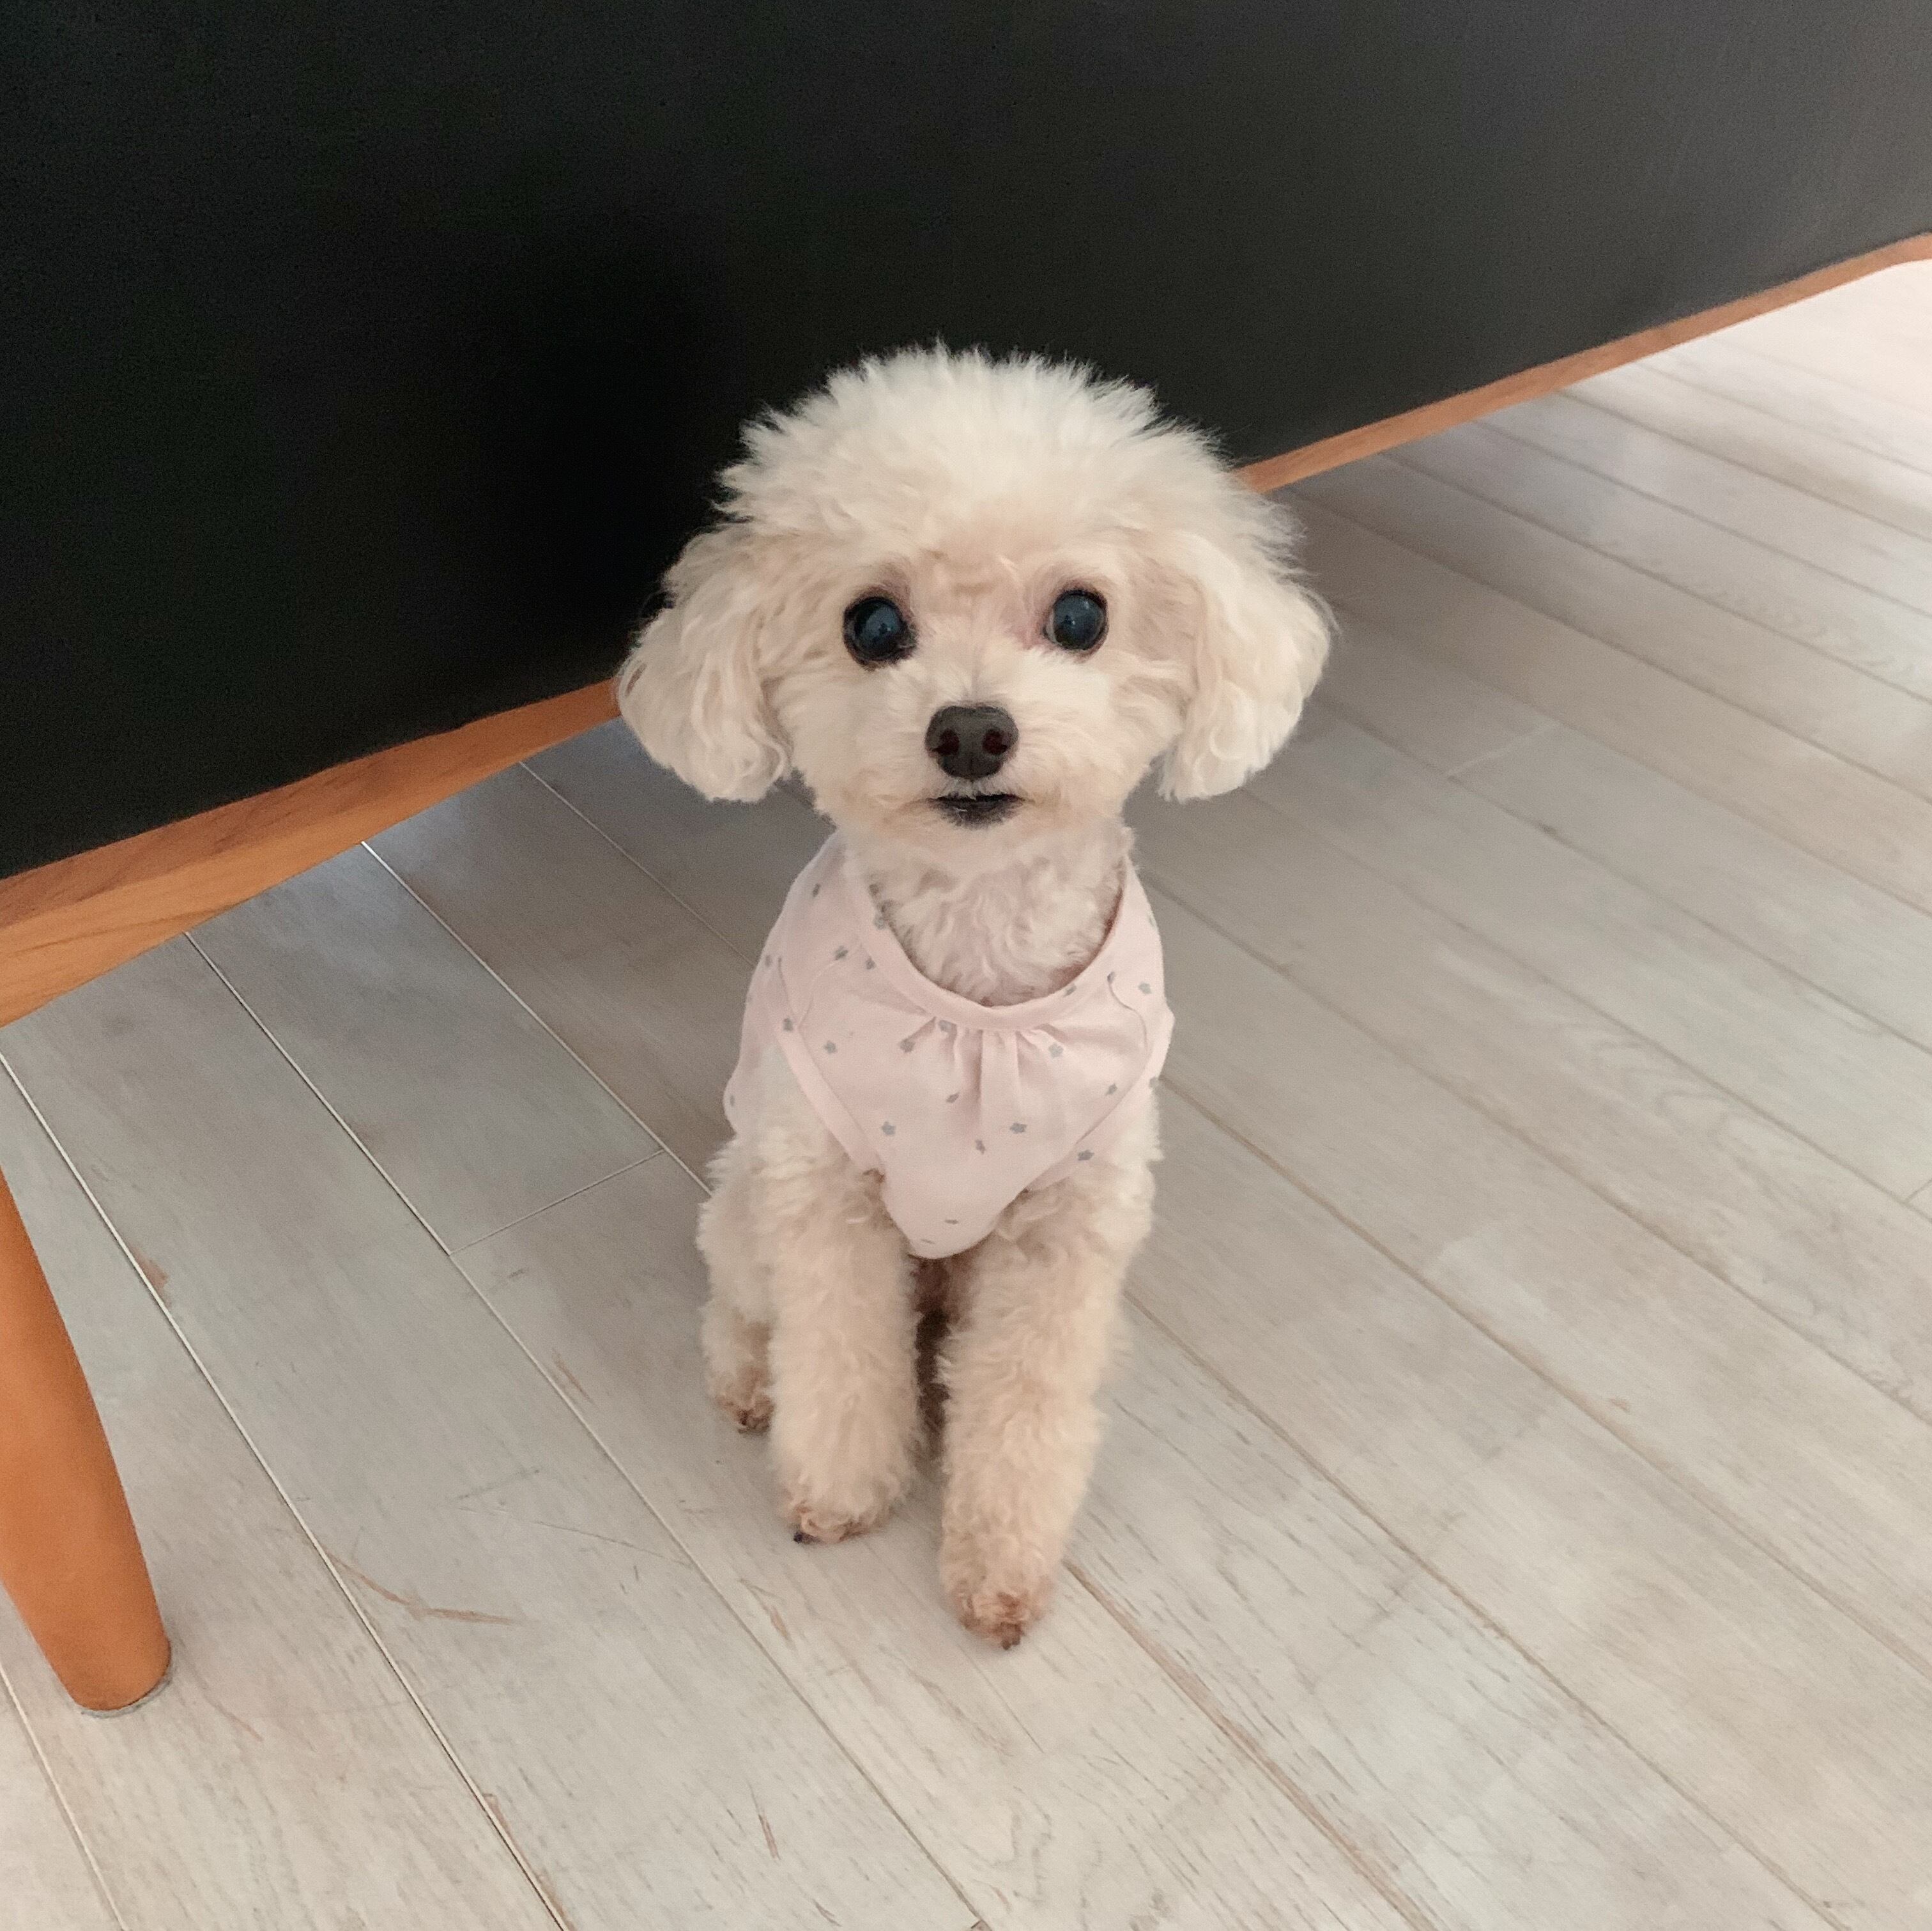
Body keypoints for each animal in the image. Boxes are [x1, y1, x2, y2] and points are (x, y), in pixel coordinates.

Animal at [617, 347, 1328, 1646]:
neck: (980, 968)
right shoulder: (826, 1201)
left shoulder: (1064, 1232)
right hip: (744, 1197)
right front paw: (841, 1493)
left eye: (1081, 615)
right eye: (873, 625)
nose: (970, 730)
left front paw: (1000, 1561)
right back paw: (744, 1381)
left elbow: (1026, 1402)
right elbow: (841, 1362)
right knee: (742, 1304)